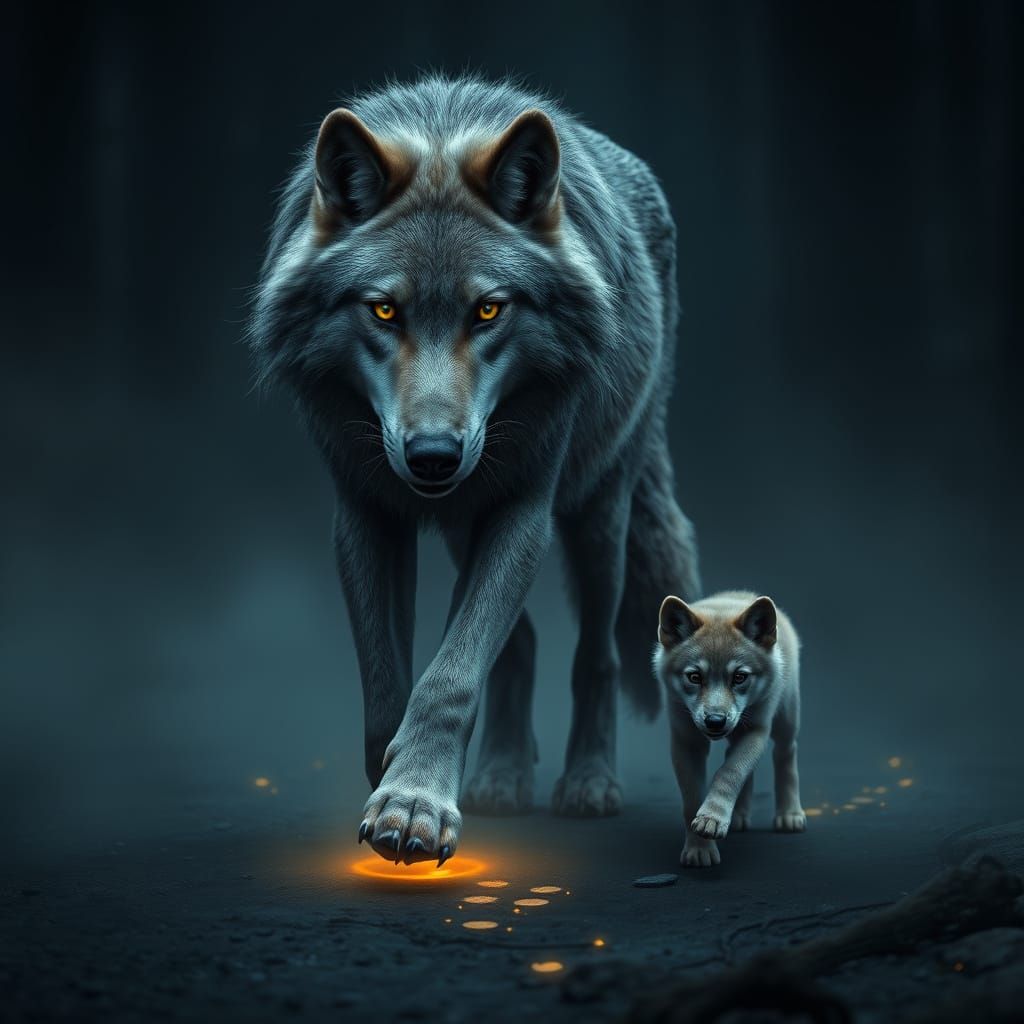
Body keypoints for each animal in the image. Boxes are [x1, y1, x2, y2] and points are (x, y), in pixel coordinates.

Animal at [249, 76, 700, 865]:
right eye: (384, 310)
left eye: (489, 310)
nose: (433, 455)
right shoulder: (364, 513)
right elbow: (390, 682)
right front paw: (397, 784)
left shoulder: (524, 506)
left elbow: (452, 674)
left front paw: (415, 803)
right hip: (468, 528)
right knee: (522, 643)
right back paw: (500, 778)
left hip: (600, 512)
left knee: (598, 654)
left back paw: (587, 784)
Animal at [654, 591, 805, 868]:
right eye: (694, 677)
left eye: (739, 677)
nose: (715, 720)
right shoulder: (686, 742)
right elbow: (692, 798)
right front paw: (699, 849)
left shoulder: (756, 731)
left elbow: (730, 772)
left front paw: (711, 819)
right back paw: (739, 817)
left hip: (786, 720)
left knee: (785, 753)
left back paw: (790, 814)